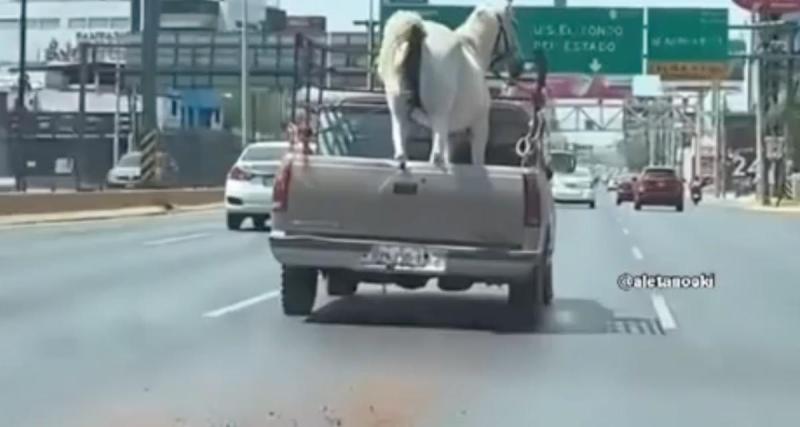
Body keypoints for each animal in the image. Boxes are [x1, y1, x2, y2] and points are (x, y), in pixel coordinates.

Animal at [376, 0, 520, 167]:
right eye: (513, 24)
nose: (517, 68)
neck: (474, 52)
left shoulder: (449, 133)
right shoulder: (479, 126)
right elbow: (477, 162)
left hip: (400, 116)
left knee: (402, 154)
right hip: (439, 116)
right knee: (436, 157)